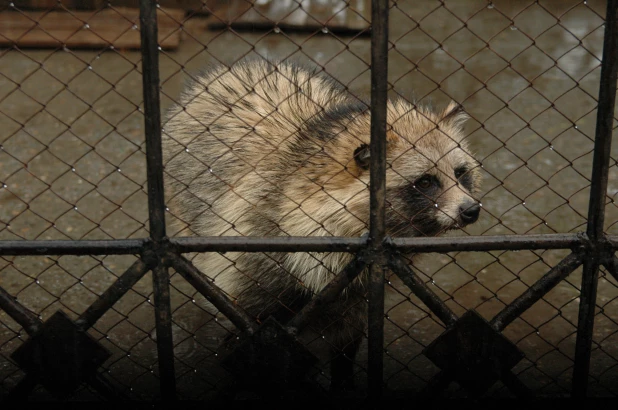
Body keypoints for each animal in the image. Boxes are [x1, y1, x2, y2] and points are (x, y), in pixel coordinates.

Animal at [164, 58, 482, 390]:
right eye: (426, 181)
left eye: (460, 174)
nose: (471, 210)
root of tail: (233, 68)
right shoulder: (251, 267)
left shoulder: (355, 295)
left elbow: (345, 347)